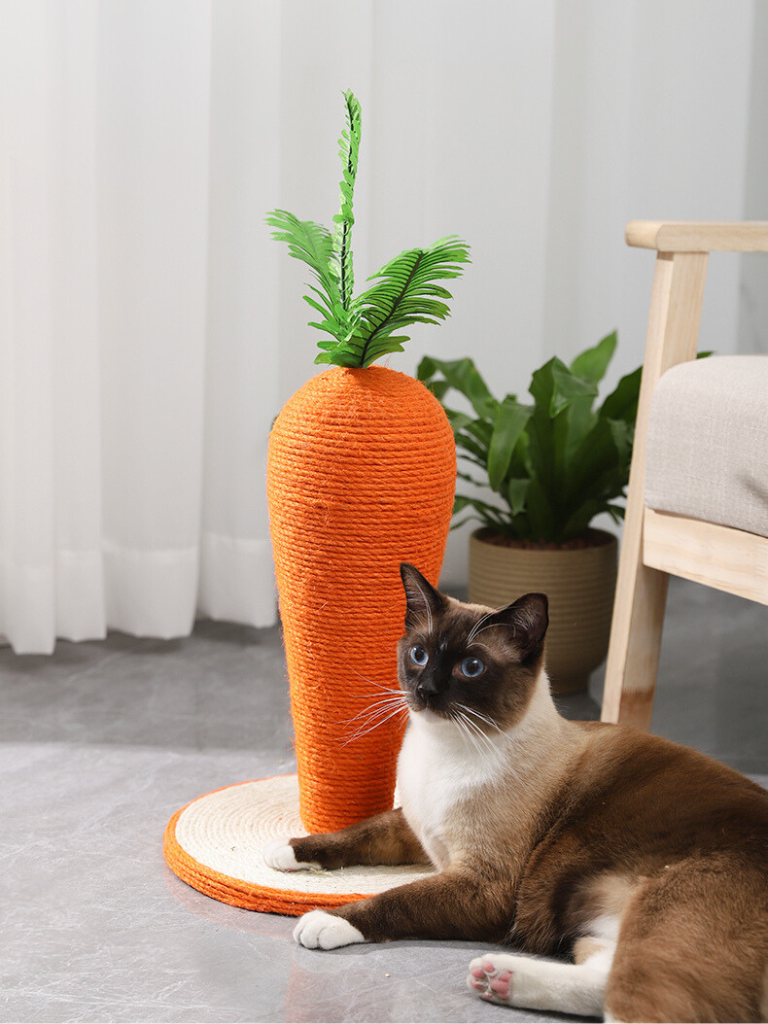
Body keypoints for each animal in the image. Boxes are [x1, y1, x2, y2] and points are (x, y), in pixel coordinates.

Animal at [266, 565, 768, 1019]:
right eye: (419, 655)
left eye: (471, 667)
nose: (426, 690)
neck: (442, 751)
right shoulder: (415, 828)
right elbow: (355, 832)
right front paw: (285, 852)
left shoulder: (483, 883)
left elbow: (398, 898)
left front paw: (326, 920)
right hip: (599, 932)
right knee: (602, 981)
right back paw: (498, 979)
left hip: (657, 925)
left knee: (638, 1006)